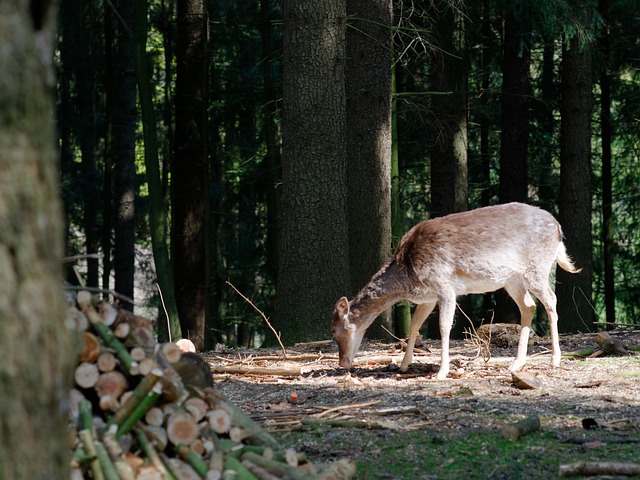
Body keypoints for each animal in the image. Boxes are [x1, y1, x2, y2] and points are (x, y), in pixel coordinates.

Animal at [330, 202, 580, 378]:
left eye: (334, 331)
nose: (342, 363)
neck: (407, 274)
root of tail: (558, 229)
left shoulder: (445, 286)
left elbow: (443, 327)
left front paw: (441, 372)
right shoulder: (427, 297)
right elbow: (414, 325)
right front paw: (403, 365)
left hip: (538, 267)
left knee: (551, 300)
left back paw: (555, 360)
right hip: (513, 279)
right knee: (529, 306)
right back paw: (516, 363)